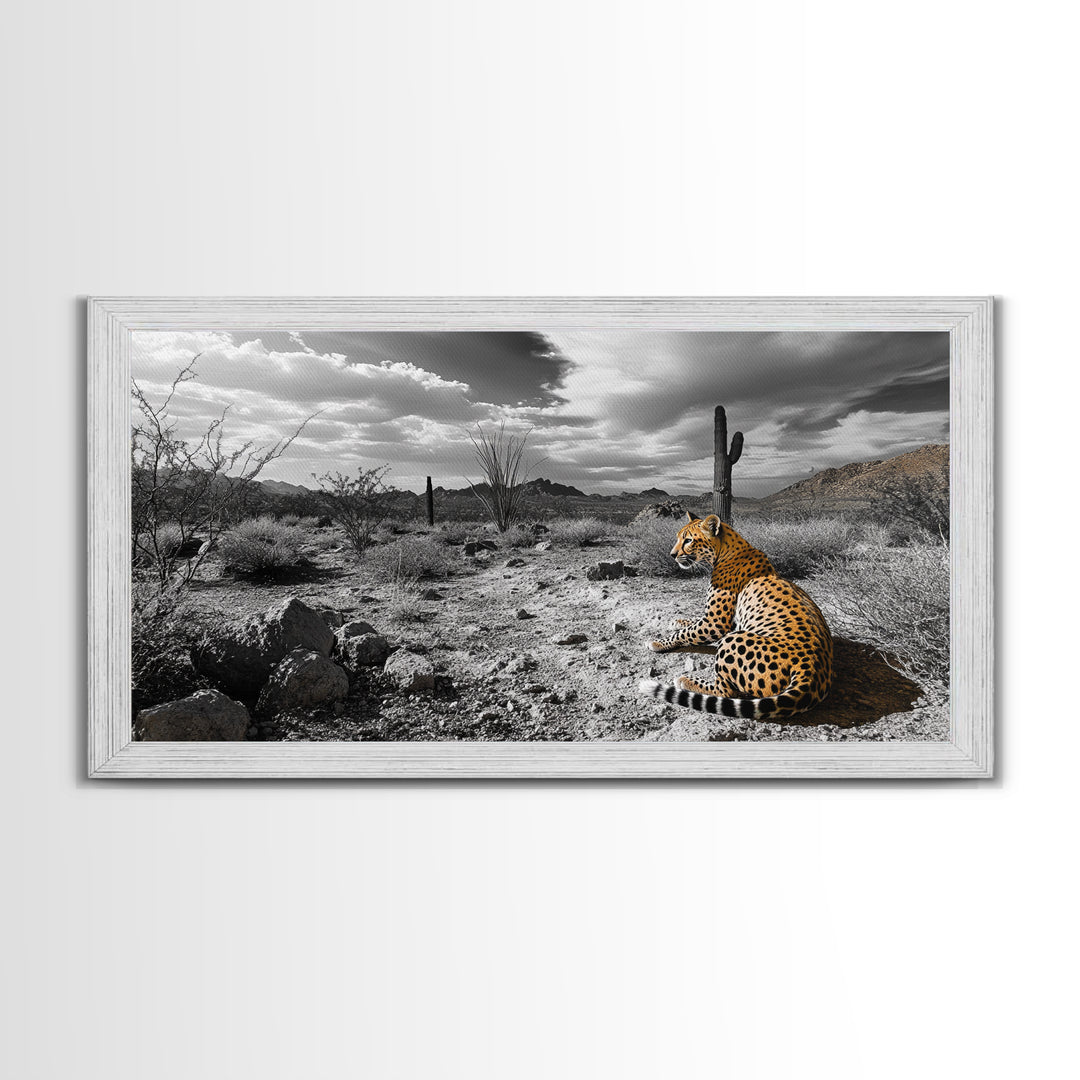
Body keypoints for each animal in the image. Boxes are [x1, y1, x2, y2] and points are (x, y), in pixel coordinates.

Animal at [639, 513, 833, 720]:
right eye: (678, 538)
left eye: (689, 540)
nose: (672, 555)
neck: (726, 551)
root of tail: (813, 668)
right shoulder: (725, 621)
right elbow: (691, 624)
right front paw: (678, 621)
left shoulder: (716, 623)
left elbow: (686, 633)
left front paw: (658, 642)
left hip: (732, 640)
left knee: (725, 691)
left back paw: (686, 680)